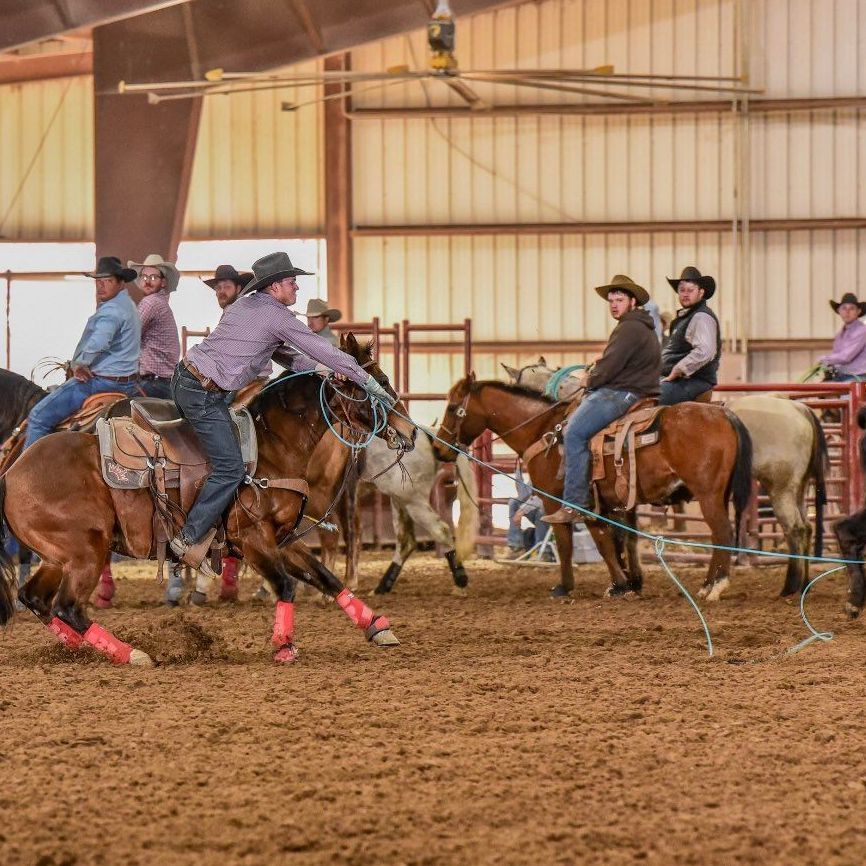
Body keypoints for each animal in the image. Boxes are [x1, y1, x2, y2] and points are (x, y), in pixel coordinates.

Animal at [0, 334, 416, 664]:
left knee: (35, 598)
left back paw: (78, 648)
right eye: (375, 384)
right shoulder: (252, 538)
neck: (272, 445)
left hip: (61, 556)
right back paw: (132, 654)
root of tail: (12, 472)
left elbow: (324, 577)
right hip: (86, 550)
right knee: (66, 606)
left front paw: (377, 626)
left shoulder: (280, 539)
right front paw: (283, 645)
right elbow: (285, 584)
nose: (409, 431)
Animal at [432, 374, 748, 604]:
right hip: (719, 495)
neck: (544, 431)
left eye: (452, 407)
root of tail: (724, 415)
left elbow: (570, 542)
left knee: (722, 532)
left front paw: (567, 586)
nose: (438, 449)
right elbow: (616, 540)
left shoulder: (559, 500)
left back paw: (713, 587)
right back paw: (708, 584)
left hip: (708, 495)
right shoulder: (605, 503)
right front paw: (626, 583)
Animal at [502, 358, 828, 592]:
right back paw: (800, 585)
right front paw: (631, 580)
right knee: (803, 528)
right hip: (796, 487)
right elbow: (626, 536)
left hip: (777, 487)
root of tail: (799, 408)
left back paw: (785, 587)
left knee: (792, 529)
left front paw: (622, 581)